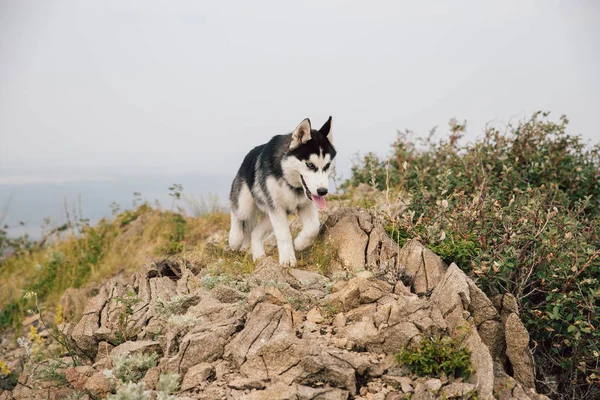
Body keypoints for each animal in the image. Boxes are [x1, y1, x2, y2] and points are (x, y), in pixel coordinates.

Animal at [229, 116, 336, 266]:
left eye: (327, 165)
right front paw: (287, 258)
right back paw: (235, 239)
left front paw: (299, 243)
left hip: (270, 216)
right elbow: (284, 234)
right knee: (236, 213)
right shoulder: (277, 208)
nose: (322, 191)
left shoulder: (305, 205)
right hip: (246, 205)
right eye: (310, 164)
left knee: (254, 233)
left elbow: (313, 228)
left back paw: (259, 256)